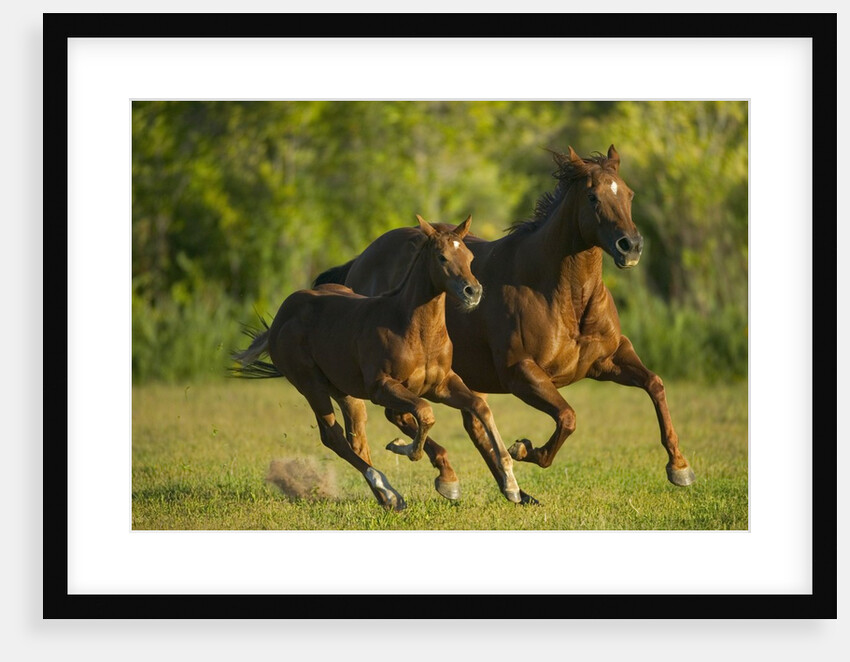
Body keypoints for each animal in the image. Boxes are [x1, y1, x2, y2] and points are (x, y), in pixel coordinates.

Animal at [233, 215, 532, 511]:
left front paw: (510, 484)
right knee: (333, 436)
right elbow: (425, 414)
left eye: (470, 257)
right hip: (311, 385)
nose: (473, 292)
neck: (413, 330)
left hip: (344, 391)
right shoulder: (382, 387)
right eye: (442, 257)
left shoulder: (441, 384)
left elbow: (480, 407)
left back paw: (388, 497)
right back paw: (387, 490)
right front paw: (409, 453)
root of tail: (281, 318)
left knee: (356, 440)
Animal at [312, 145, 696, 498]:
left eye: (628, 193)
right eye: (592, 196)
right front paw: (525, 449)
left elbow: (655, 384)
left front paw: (679, 467)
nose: (630, 246)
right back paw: (451, 477)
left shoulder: (609, 359)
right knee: (402, 417)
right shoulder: (521, 373)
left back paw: (512, 491)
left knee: (465, 421)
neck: (560, 295)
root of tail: (361, 261)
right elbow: (567, 417)